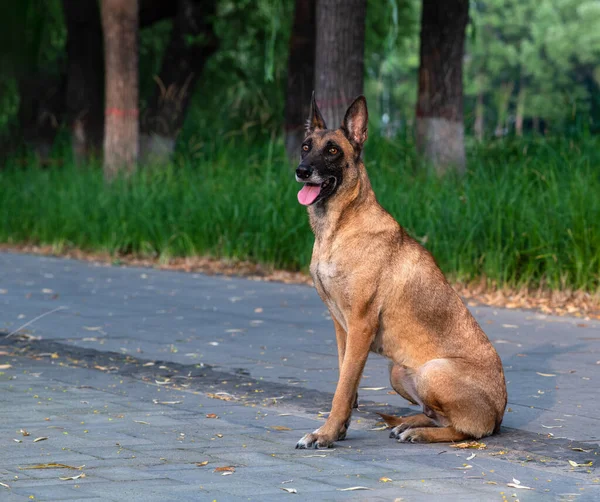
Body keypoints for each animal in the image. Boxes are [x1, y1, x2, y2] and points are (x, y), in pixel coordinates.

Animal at [294, 94, 506, 448]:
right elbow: (346, 383)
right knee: (436, 414)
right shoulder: (341, 328)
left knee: (462, 429)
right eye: (306, 147)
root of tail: (499, 415)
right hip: (398, 371)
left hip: (433, 371)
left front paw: (326, 433)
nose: (301, 171)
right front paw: (339, 429)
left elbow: (342, 389)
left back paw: (419, 432)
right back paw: (408, 423)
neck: (338, 227)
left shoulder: (360, 326)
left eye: (333, 150)